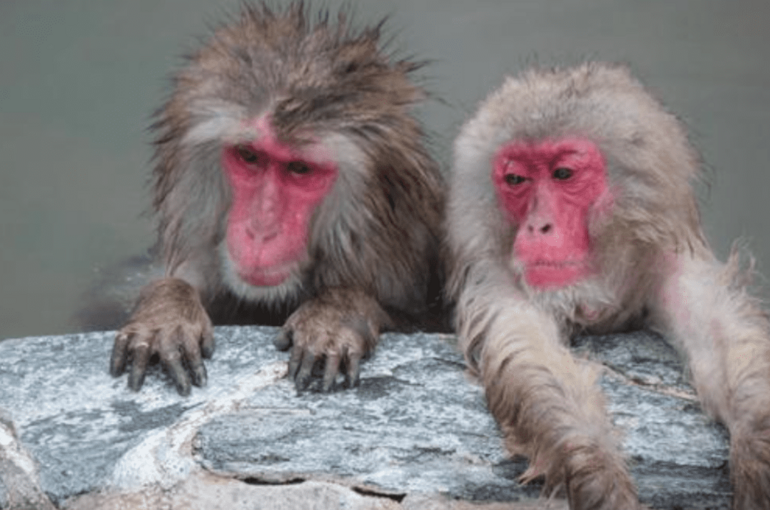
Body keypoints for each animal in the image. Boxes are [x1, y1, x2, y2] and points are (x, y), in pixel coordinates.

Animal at [446, 62, 770, 509]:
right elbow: (529, 353)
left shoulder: (669, 262)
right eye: (516, 179)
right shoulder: (500, 277)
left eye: (564, 174)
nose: (537, 226)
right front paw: (598, 473)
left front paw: (757, 448)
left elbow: (719, 340)